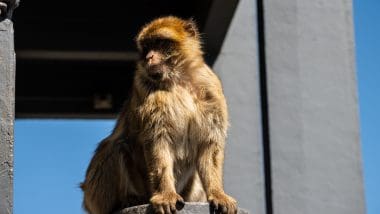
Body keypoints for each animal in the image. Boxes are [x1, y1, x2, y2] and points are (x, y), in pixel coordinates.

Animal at [81, 16, 238, 214]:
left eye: (160, 43)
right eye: (147, 47)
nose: (149, 57)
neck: (179, 79)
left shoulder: (211, 87)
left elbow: (209, 145)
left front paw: (218, 194)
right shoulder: (144, 86)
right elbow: (158, 140)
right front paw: (165, 195)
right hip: (95, 196)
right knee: (115, 146)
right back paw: (128, 199)